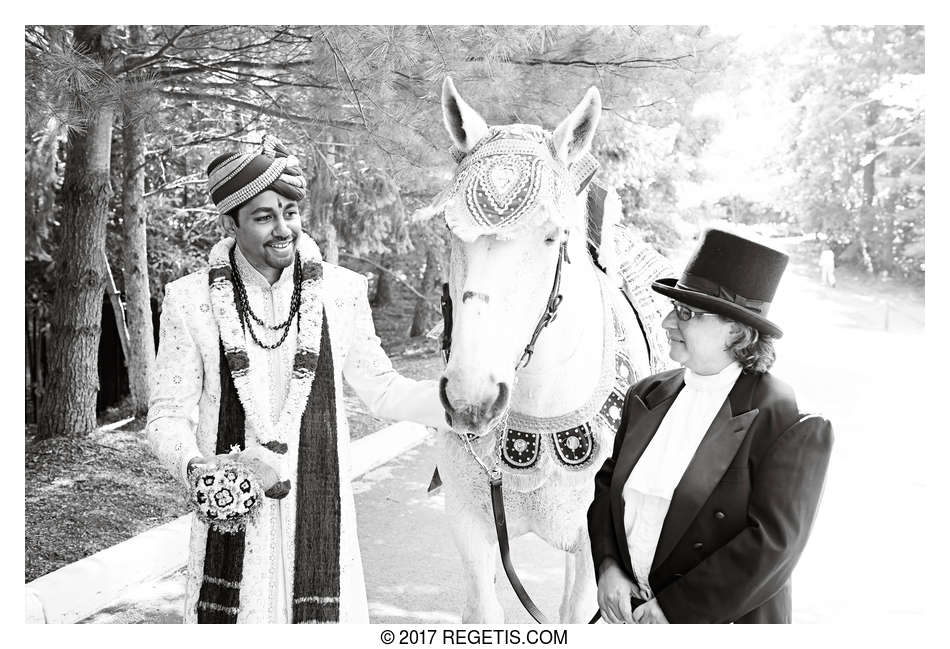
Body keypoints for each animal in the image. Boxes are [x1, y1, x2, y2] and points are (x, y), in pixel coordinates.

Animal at [432, 77, 676, 624]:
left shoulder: (592, 550)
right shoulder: (468, 525)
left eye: (553, 236)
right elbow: (483, 613)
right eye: (450, 231)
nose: (471, 399)